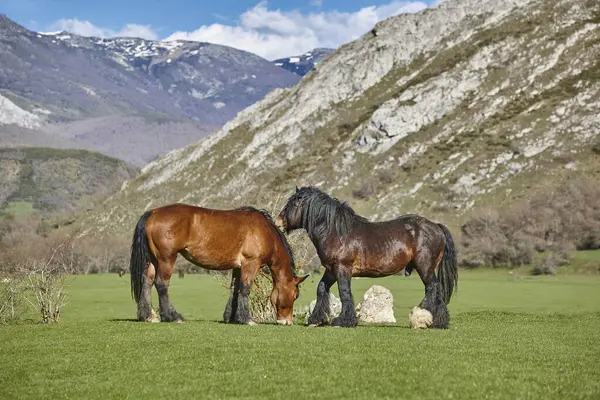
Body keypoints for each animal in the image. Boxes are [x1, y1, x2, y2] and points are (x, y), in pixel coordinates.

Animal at [129, 203, 308, 324]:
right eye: (295, 295)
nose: (286, 321)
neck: (264, 232)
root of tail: (153, 212)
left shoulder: (238, 267)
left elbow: (235, 289)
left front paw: (231, 317)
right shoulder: (251, 264)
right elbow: (245, 289)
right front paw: (246, 318)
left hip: (153, 260)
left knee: (147, 282)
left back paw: (149, 316)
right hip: (166, 259)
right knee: (161, 284)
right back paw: (172, 316)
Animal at [276, 187, 460, 328]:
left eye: (292, 203)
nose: (278, 221)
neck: (337, 232)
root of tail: (436, 226)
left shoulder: (342, 268)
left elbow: (344, 292)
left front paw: (344, 321)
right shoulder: (331, 270)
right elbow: (322, 289)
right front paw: (316, 319)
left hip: (424, 267)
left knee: (432, 288)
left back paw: (420, 318)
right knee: (437, 290)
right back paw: (439, 322)